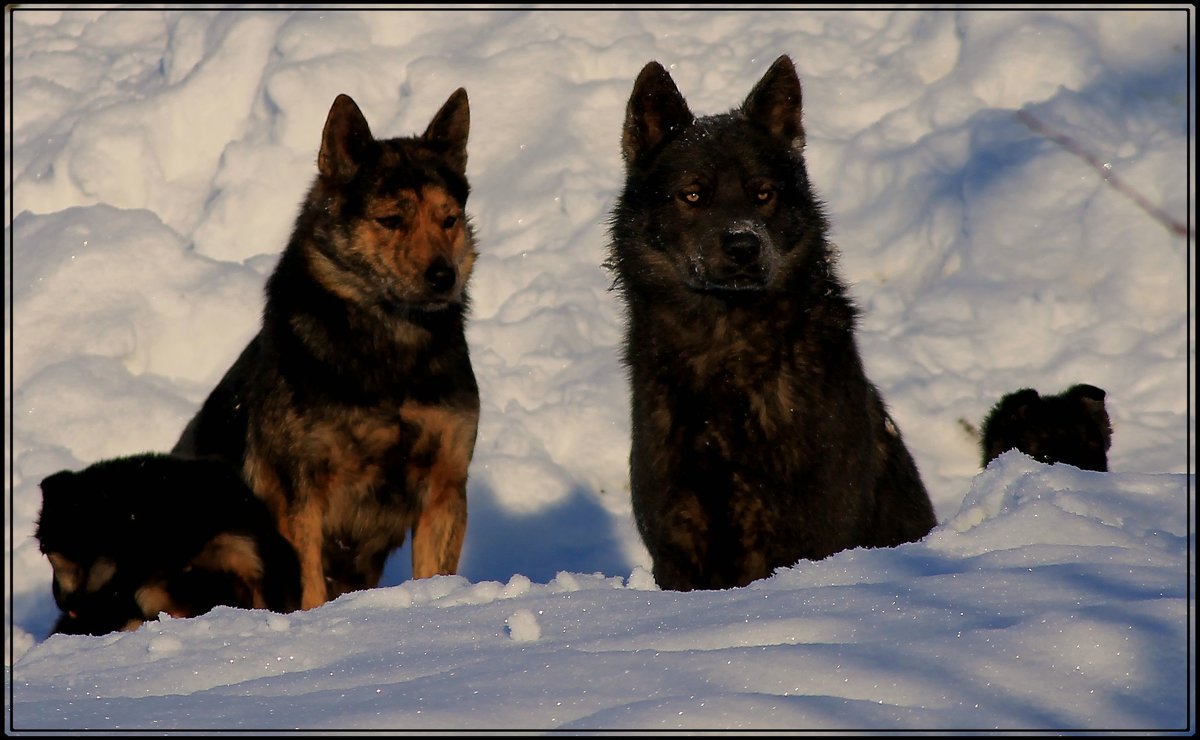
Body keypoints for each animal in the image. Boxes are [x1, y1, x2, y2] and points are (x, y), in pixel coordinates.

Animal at [175, 89, 482, 609]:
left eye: (449, 220)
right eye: (391, 221)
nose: (445, 277)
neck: (388, 347)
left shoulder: (445, 484)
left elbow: (433, 570)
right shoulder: (298, 493)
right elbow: (309, 586)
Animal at [609, 54, 936, 592]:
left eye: (763, 194)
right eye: (693, 195)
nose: (744, 244)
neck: (724, 357)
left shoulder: (809, 537)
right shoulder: (676, 548)